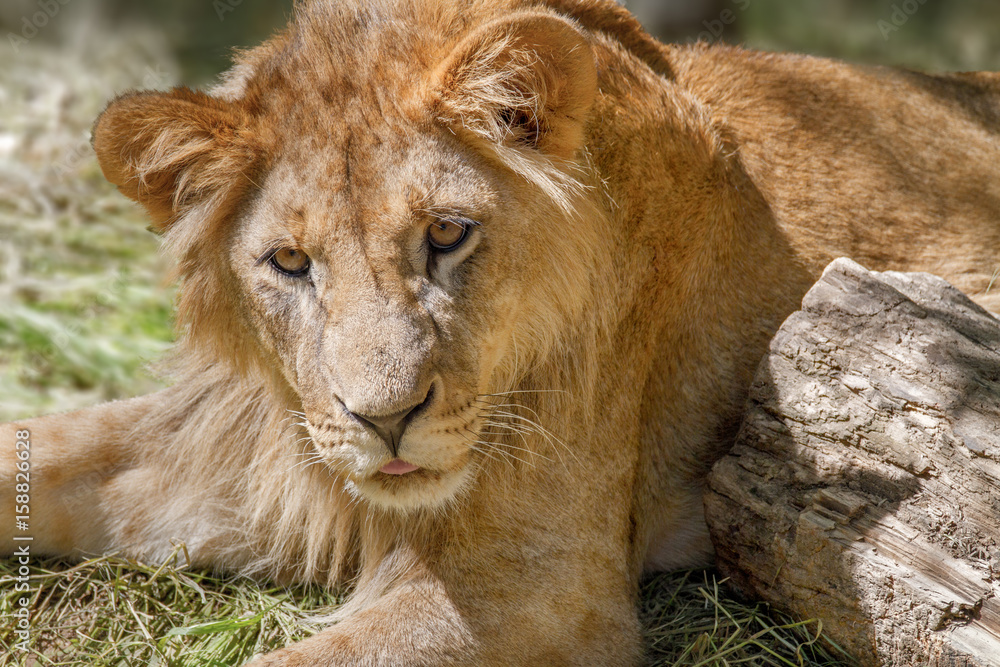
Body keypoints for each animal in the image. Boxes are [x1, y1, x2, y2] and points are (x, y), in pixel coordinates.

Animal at [3, 0, 999, 664]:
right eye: (289, 262)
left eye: (447, 234)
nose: (384, 421)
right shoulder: (232, 443)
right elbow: (38, 444)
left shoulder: (530, 593)